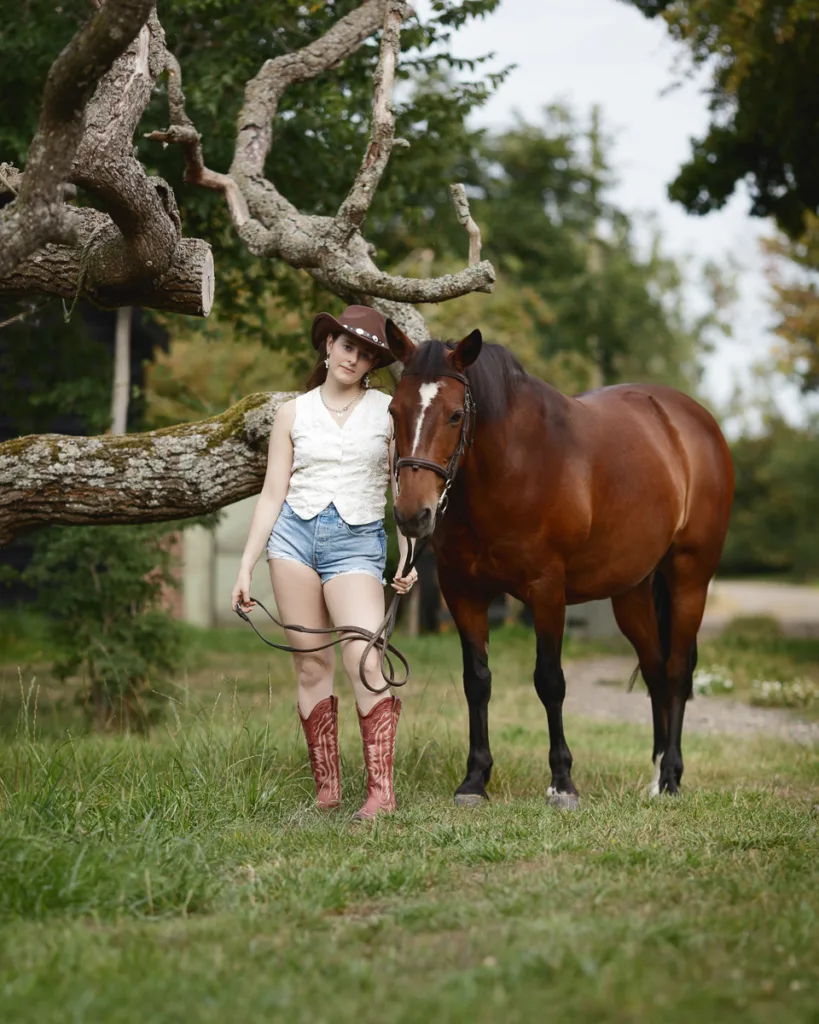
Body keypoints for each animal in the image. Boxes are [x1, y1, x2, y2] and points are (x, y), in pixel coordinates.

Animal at [384, 320, 734, 807]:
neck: (513, 464)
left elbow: (549, 680)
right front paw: (475, 779)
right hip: (632, 592)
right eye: (394, 411)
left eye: (455, 415)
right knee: (655, 670)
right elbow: (477, 680)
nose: (412, 515)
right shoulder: (463, 592)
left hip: (690, 579)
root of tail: (693, 421)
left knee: (678, 671)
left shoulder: (547, 590)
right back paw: (655, 776)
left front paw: (562, 782)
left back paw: (670, 778)